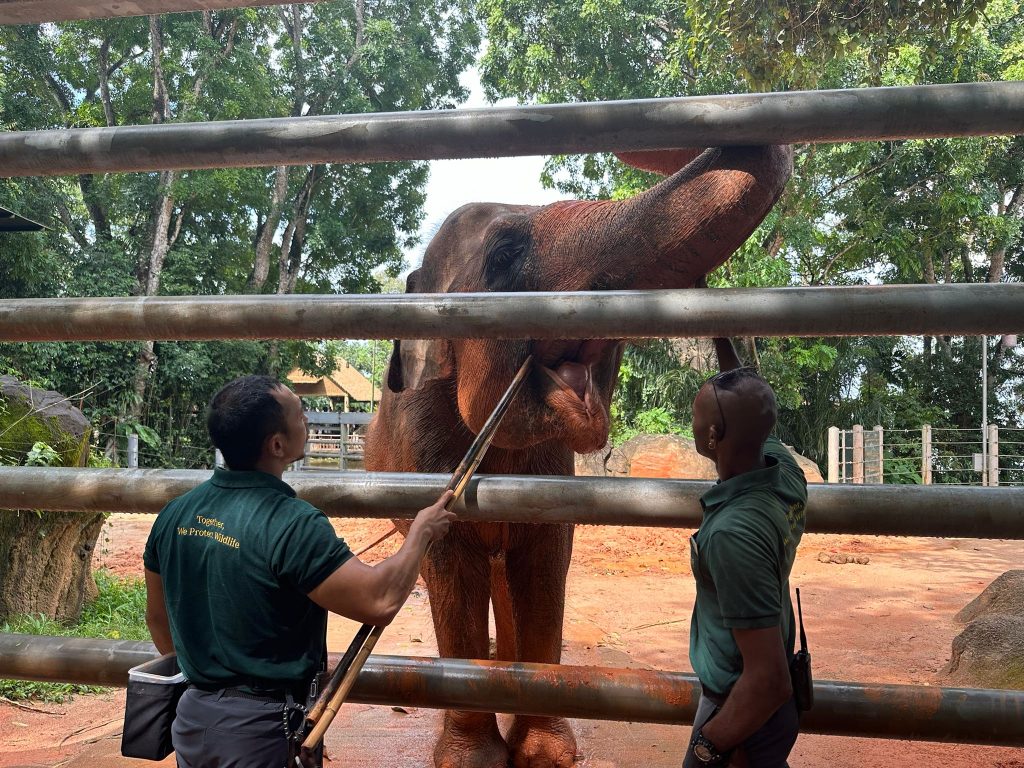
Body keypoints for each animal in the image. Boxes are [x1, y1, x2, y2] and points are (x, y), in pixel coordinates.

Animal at [363, 144, 793, 768]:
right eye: (503, 253)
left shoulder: (553, 468)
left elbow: (544, 563)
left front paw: (543, 751)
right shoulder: (424, 445)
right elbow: (451, 567)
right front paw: (474, 756)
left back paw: (506, 666)